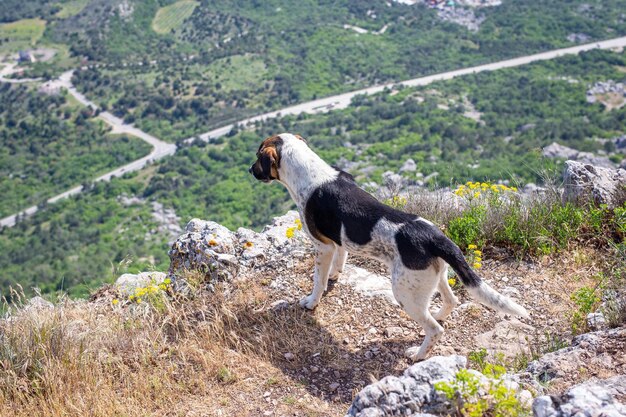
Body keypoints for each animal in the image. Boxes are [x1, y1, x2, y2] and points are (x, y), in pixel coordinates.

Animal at [249, 132, 528, 358]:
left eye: (258, 156)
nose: (250, 171)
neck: (309, 171)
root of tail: (435, 237)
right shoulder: (338, 241)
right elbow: (339, 260)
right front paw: (335, 276)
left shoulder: (322, 246)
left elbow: (318, 280)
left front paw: (311, 302)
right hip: (434, 276)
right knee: (451, 301)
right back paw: (438, 313)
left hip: (405, 292)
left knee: (435, 330)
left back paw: (418, 354)